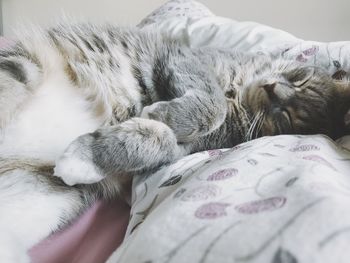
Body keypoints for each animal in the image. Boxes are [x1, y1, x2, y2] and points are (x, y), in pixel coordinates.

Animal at [0, 23, 350, 263]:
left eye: (288, 119)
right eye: (300, 76)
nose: (274, 90)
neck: (239, 93)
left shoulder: (183, 147)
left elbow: (156, 139)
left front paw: (87, 156)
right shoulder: (186, 59)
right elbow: (212, 104)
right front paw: (165, 112)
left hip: (45, 199)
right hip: (20, 69)